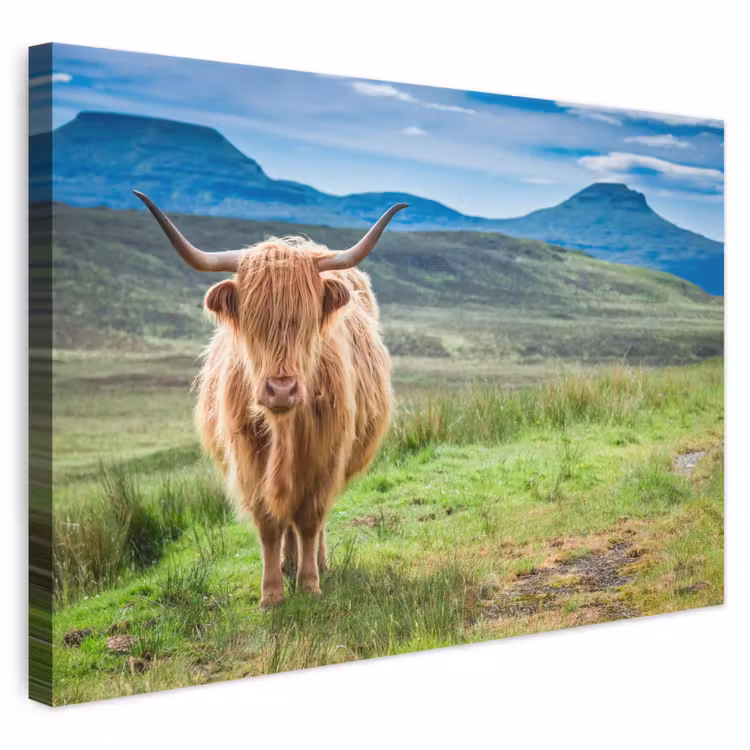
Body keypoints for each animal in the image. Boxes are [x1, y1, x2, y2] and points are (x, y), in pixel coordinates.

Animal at [133, 191, 405, 608]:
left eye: (306, 319)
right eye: (252, 320)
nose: (281, 389)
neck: (284, 430)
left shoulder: (325, 456)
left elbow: (310, 518)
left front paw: (309, 585)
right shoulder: (248, 458)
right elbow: (268, 523)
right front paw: (272, 593)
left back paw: (315, 564)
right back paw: (288, 564)